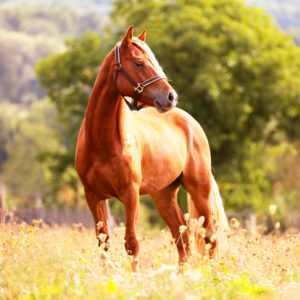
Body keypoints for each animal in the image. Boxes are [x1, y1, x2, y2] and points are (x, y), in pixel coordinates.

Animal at [75, 25, 227, 270]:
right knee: (182, 237)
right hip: (163, 195)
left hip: (199, 188)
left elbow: (132, 243)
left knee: (209, 234)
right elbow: (103, 244)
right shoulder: (93, 195)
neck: (101, 142)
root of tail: (190, 121)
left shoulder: (130, 194)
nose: (171, 97)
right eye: (139, 63)